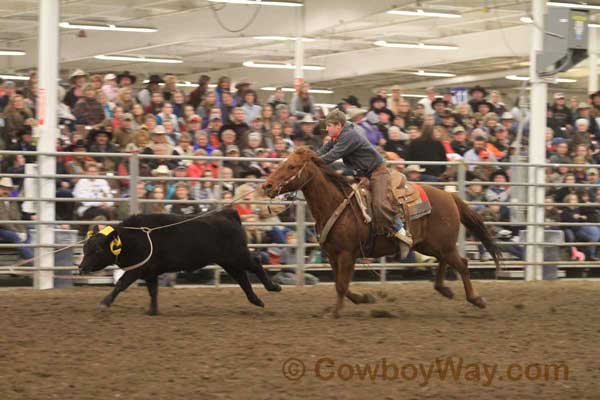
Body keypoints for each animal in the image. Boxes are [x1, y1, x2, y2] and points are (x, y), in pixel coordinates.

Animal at [262, 148, 502, 318]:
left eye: (292, 166)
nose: (267, 186)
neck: (336, 204)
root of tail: (450, 196)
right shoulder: (332, 255)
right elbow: (342, 285)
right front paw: (364, 298)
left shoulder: (347, 254)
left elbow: (341, 285)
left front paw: (335, 312)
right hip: (432, 245)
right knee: (446, 262)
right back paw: (444, 289)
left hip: (443, 244)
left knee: (462, 264)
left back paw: (476, 299)